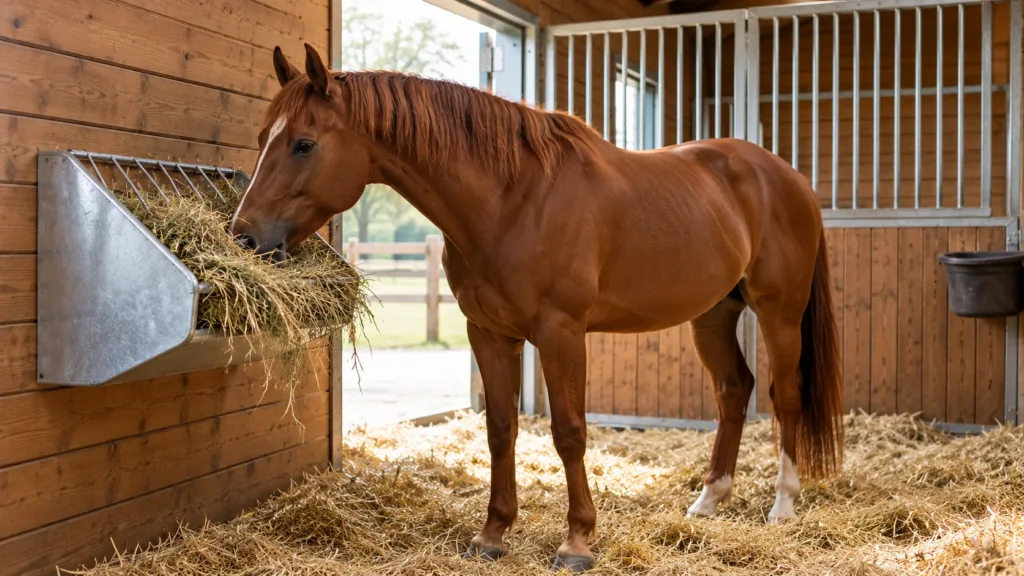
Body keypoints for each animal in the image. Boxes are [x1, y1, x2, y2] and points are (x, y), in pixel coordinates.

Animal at [231, 44, 844, 572]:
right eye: (262, 136)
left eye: (303, 143)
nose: (245, 237)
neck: (513, 199)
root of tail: (787, 177)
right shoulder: (487, 333)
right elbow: (501, 428)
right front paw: (492, 534)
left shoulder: (561, 333)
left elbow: (569, 432)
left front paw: (577, 542)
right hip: (713, 312)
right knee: (733, 391)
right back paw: (708, 501)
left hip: (779, 312)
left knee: (785, 396)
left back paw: (783, 505)